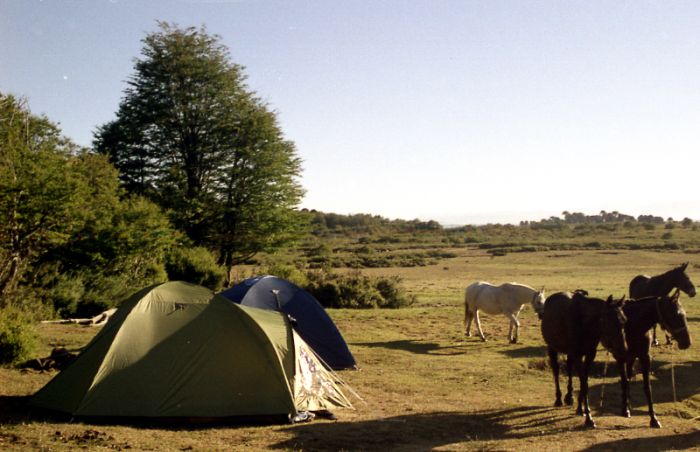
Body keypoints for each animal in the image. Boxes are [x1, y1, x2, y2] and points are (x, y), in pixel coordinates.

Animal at [540, 292, 628, 430]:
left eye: (624, 321)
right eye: (609, 322)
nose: (623, 351)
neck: (584, 323)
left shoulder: (589, 355)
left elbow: (584, 382)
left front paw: (580, 409)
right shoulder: (577, 355)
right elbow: (584, 384)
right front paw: (589, 418)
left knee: (569, 367)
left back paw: (569, 396)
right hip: (552, 348)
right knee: (556, 370)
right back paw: (558, 399)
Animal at [616, 292, 692, 430]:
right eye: (676, 315)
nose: (687, 342)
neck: (634, 325)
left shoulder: (645, 358)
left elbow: (647, 388)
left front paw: (654, 419)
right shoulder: (621, 358)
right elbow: (624, 382)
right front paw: (624, 409)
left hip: (631, 358)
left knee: (629, 375)